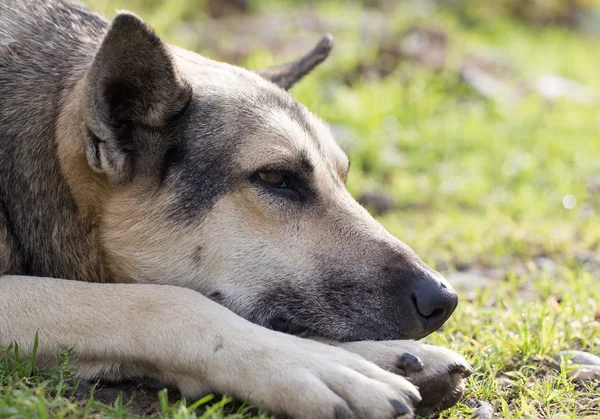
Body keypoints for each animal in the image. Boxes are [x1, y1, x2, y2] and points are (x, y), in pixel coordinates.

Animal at [0, 1, 468, 418]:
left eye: (343, 176)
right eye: (276, 177)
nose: (443, 301)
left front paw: (383, 355)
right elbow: (164, 301)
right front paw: (310, 364)